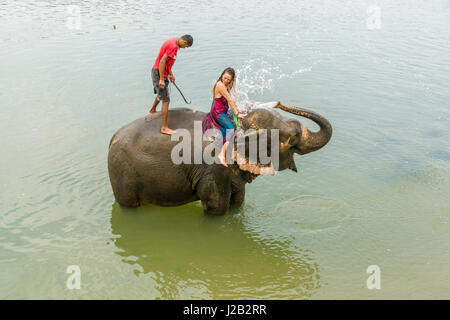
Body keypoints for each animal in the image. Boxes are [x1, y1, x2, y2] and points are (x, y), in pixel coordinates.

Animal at [107, 102, 332, 215]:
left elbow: (238, 200)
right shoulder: (213, 170)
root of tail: (112, 138)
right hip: (122, 173)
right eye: (292, 138)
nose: (280, 102)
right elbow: (217, 206)